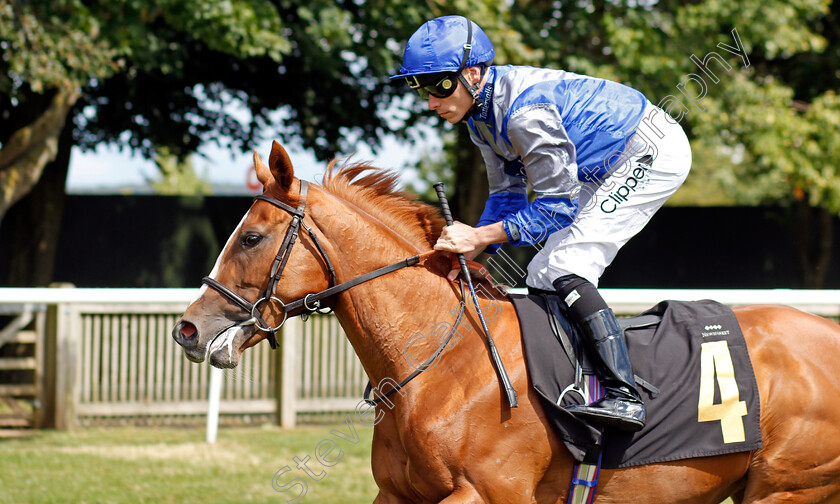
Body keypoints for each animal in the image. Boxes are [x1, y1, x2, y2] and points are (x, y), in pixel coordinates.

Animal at [172, 142, 840, 504]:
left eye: (252, 237)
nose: (189, 329)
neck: (443, 365)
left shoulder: (490, 491)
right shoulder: (400, 492)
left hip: (786, 487)